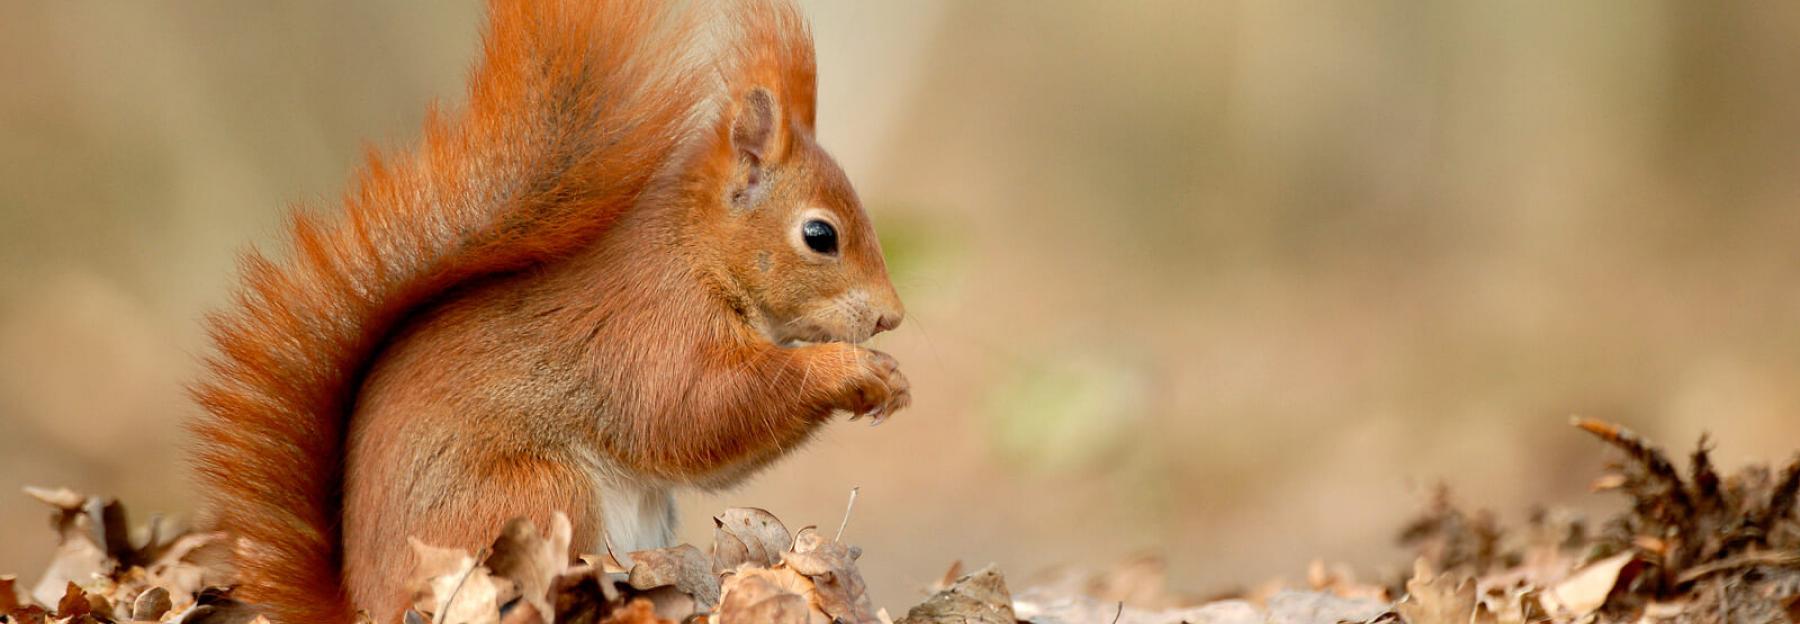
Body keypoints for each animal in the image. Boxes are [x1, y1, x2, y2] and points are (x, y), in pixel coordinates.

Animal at [189, 1, 907, 624]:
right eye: (820, 235)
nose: (891, 318)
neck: (697, 252)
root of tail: (363, 604)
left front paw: (889, 378)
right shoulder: (652, 328)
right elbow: (698, 409)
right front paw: (854, 370)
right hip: (537, 497)